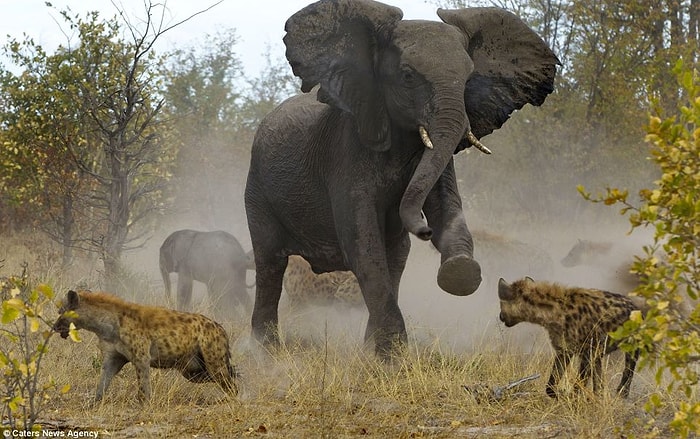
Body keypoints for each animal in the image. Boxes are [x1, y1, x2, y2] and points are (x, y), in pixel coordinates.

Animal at [243, 0, 560, 358]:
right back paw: (266, 352)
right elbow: (362, 245)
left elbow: (445, 209)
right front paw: (394, 358)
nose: (424, 230)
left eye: (468, 79)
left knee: (396, 259)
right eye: (407, 76)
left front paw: (460, 272)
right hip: (257, 189)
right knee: (270, 263)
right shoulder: (345, 152)